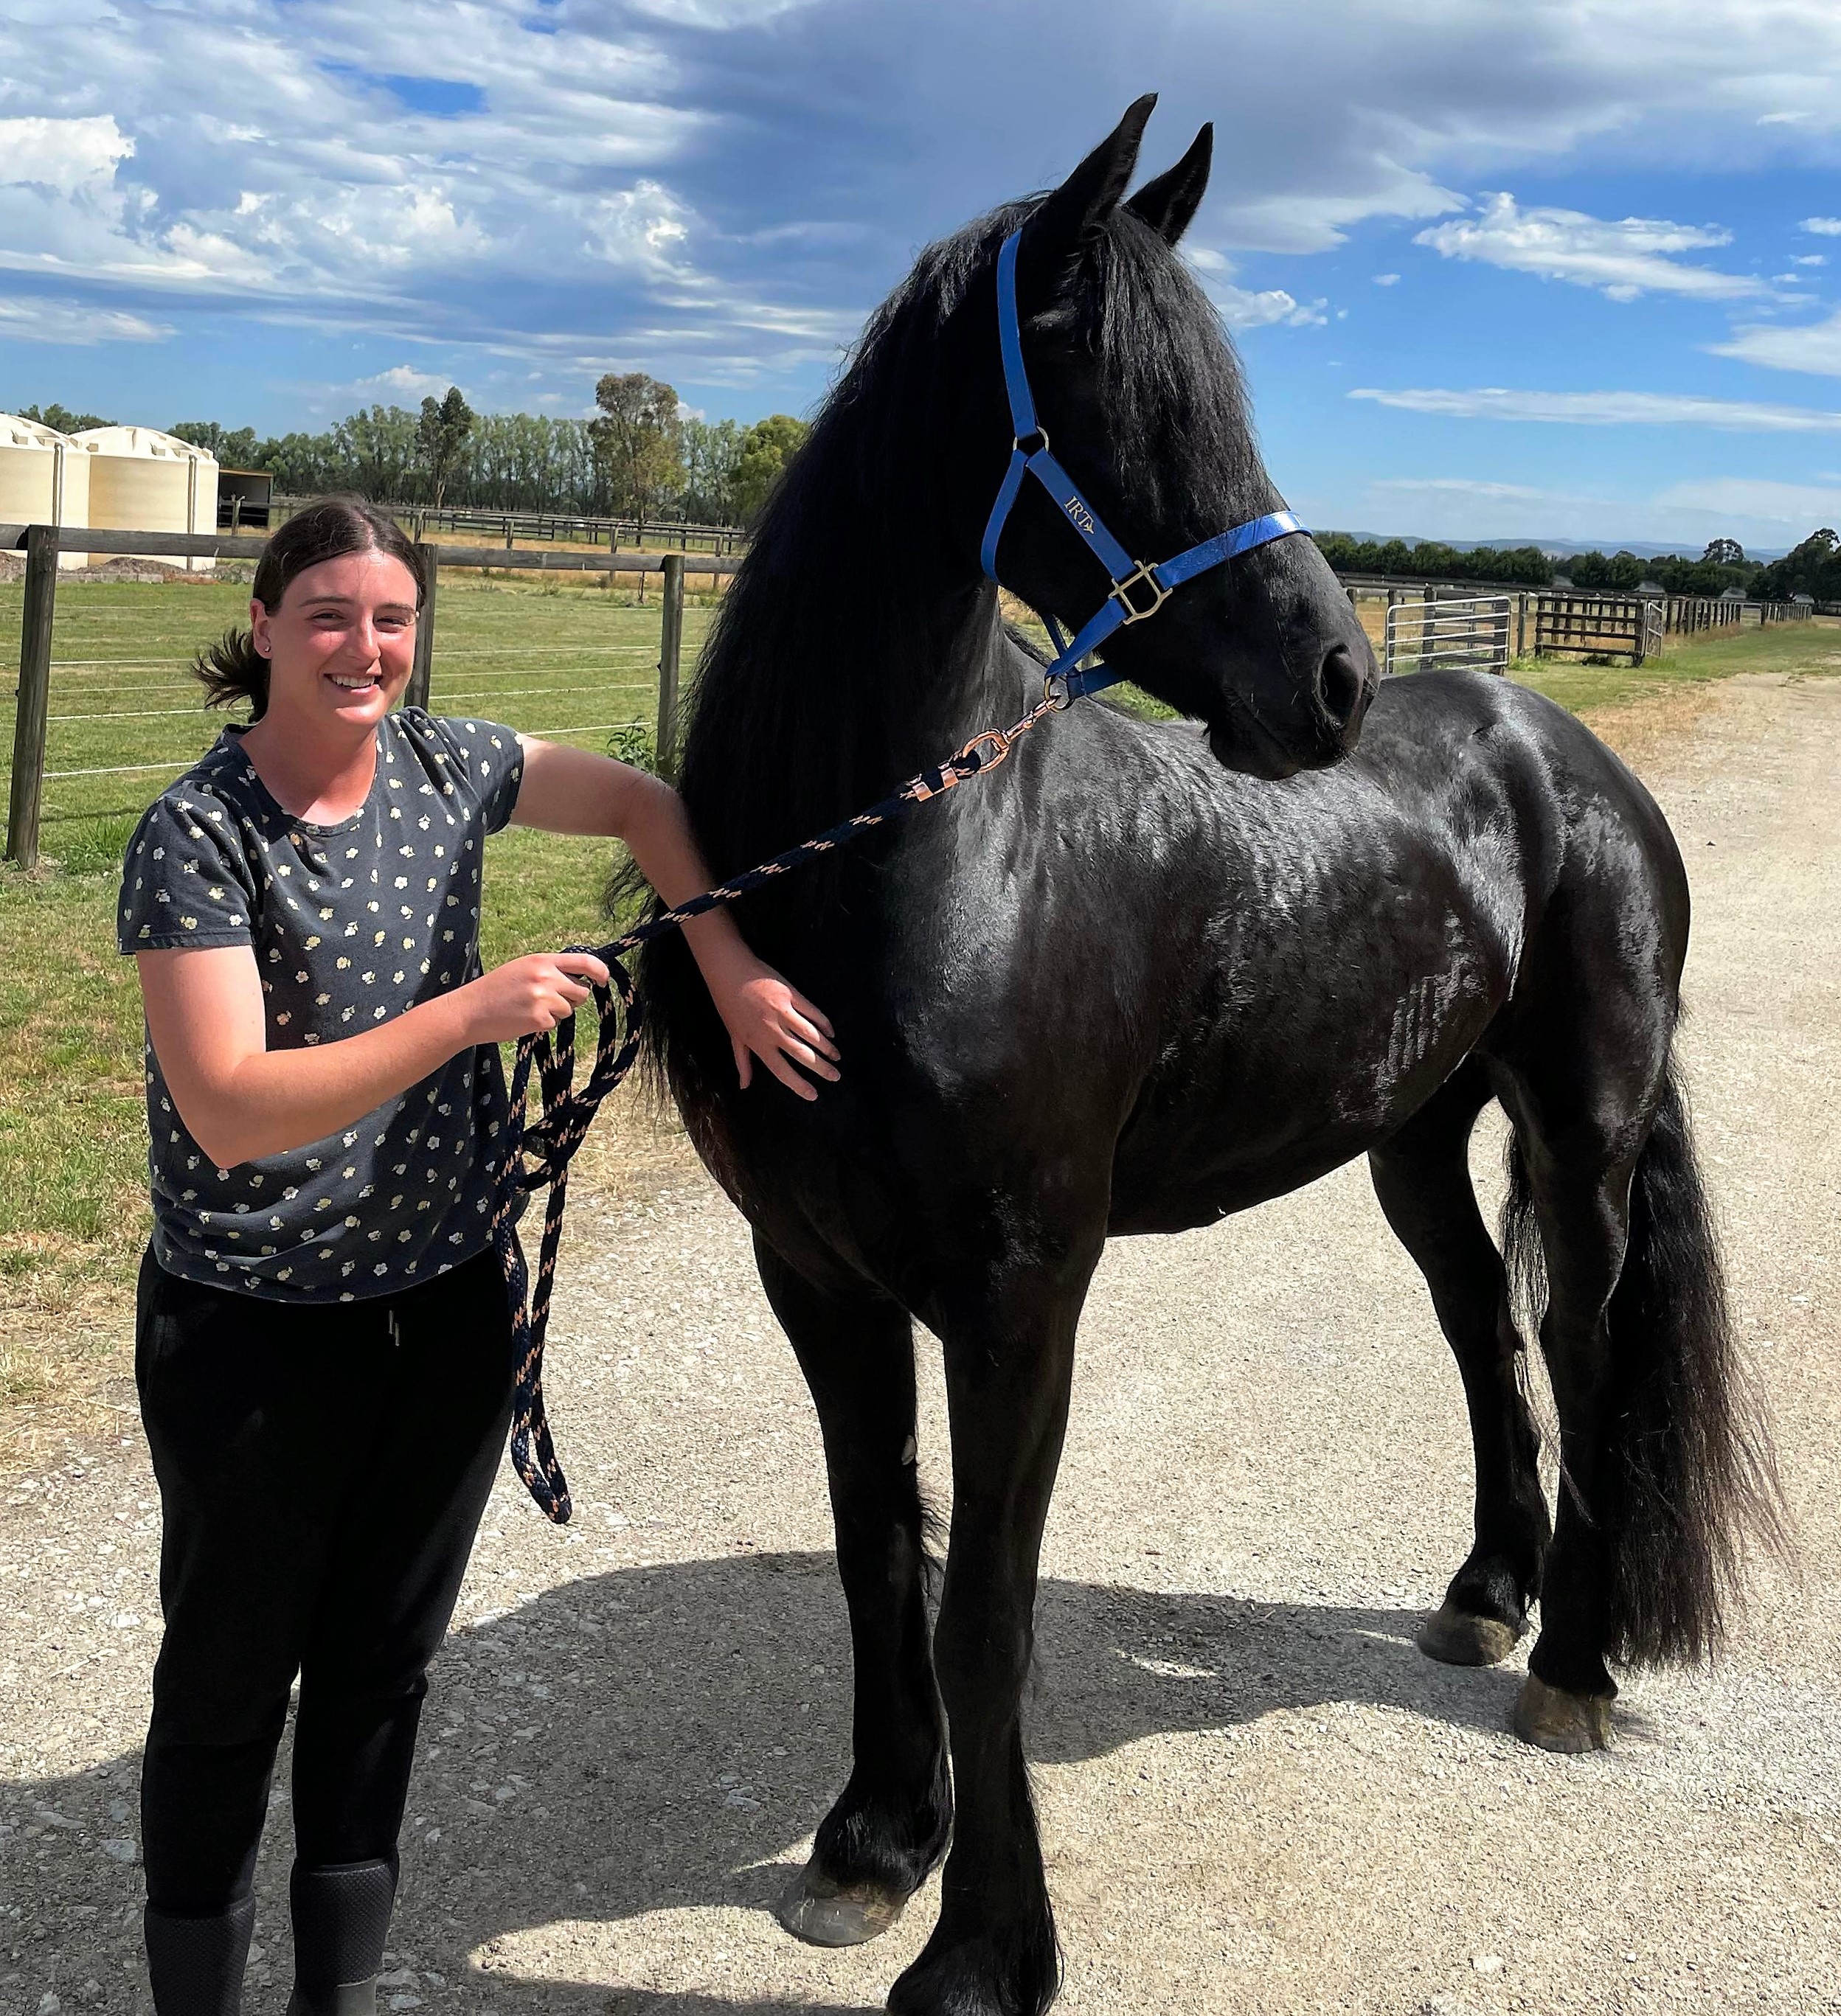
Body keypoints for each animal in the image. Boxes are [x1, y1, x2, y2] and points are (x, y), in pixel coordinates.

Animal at [628, 98, 1766, 2016]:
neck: (921, 863)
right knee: (1482, 1334)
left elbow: (983, 1610)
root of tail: (1563, 747)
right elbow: (877, 1555)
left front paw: (984, 1953)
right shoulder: (818, 1276)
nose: (1335, 681)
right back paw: (1488, 1593)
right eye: (1124, 397)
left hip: (1582, 1130)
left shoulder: (1022, 1293)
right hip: (1415, 1140)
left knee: (1583, 1348)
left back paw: (1575, 1667)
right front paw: (871, 1843)